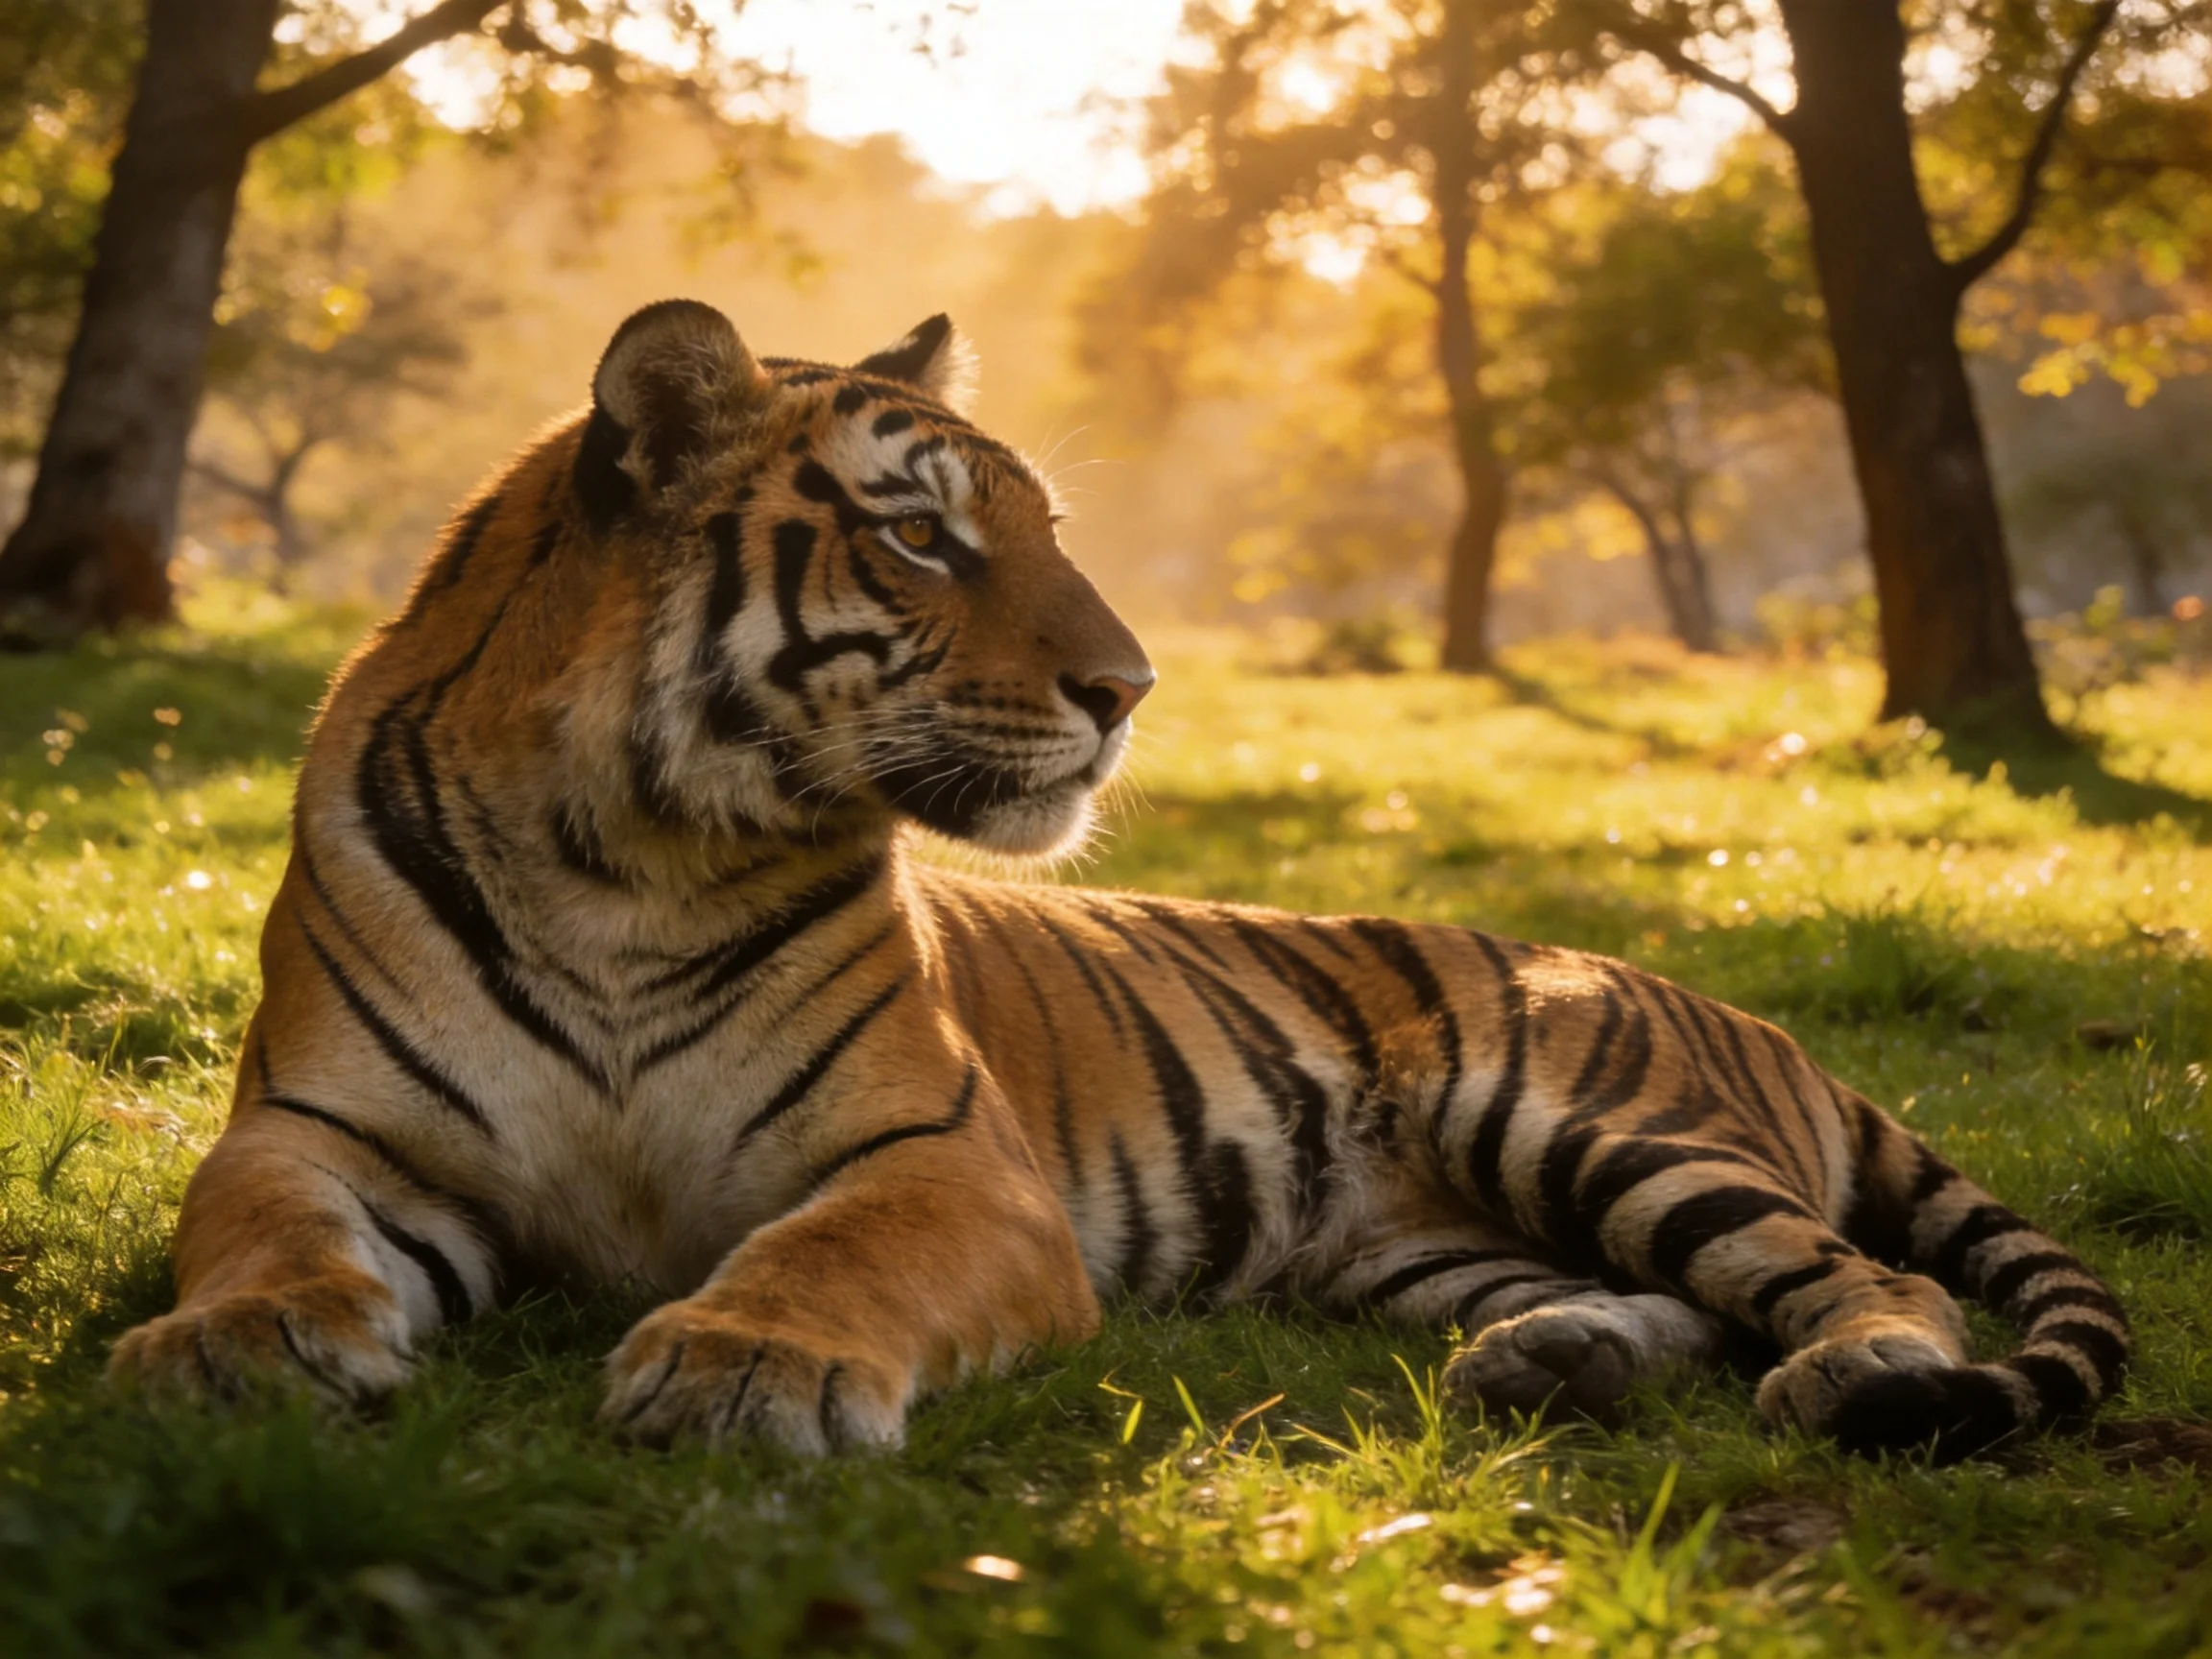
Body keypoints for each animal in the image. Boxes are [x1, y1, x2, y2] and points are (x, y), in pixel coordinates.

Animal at [108, 299, 2129, 1463]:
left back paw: (1851, 1382)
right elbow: (260, 1223)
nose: (1131, 685)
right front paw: (238, 1341)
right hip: (1421, 1239)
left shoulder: (943, 1164)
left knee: (1866, 1281)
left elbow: (827, 1248)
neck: (633, 852)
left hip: (1576, 1119)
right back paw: (1554, 1361)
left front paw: (745, 1366)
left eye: (1046, 529)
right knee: (1694, 1307)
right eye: (918, 535)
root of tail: (1746, 1011)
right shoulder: (319, 1129)